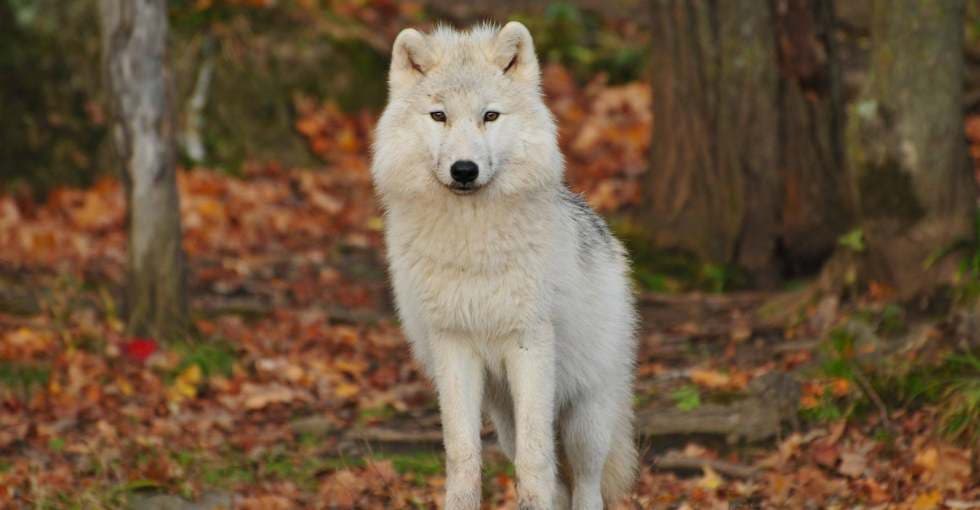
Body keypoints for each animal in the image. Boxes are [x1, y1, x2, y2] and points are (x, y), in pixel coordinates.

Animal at [371, 22, 638, 510]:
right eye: (439, 116)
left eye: (490, 116)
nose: (464, 169)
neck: (472, 244)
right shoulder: (453, 345)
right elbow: (462, 457)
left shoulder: (529, 343)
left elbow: (533, 465)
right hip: (505, 415)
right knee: (558, 483)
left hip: (585, 417)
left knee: (586, 485)